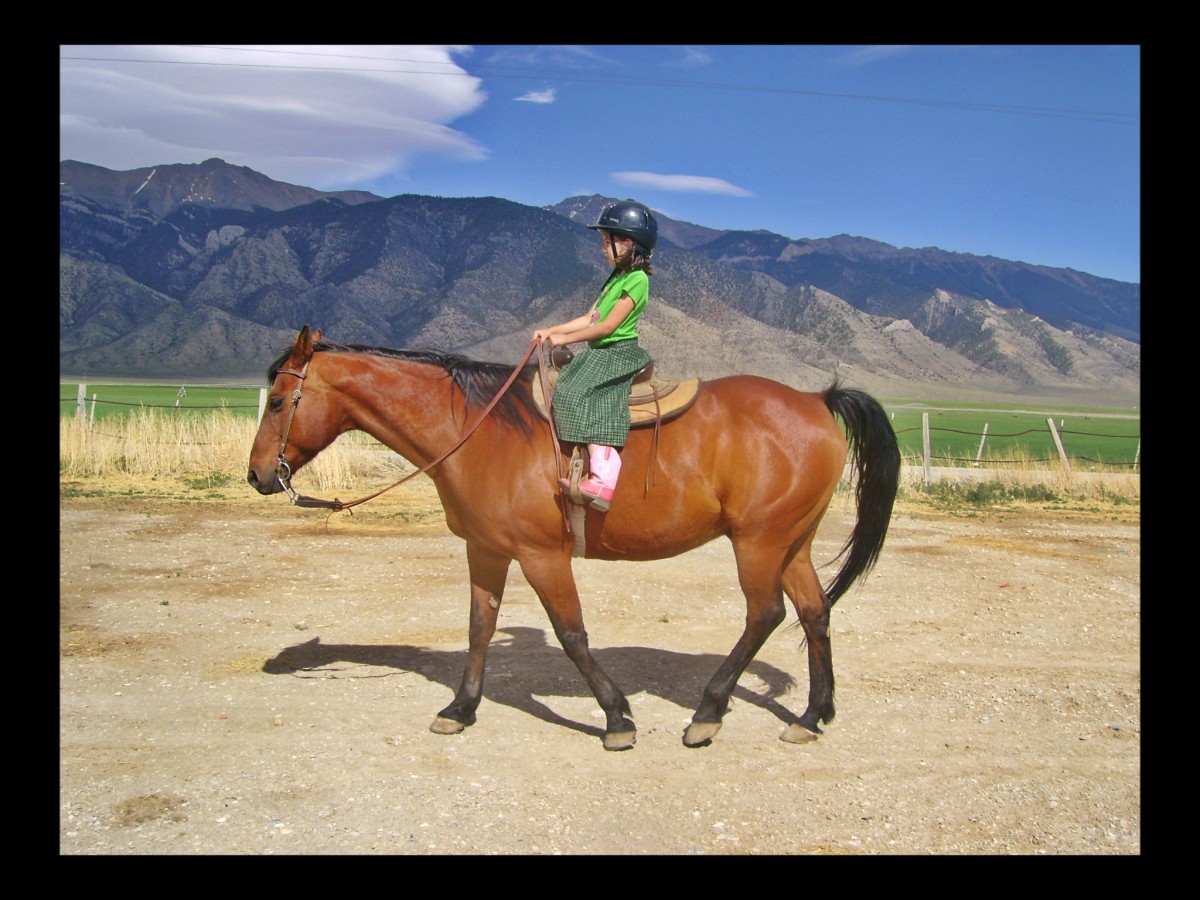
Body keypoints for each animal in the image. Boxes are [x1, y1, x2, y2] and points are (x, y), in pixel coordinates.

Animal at [246, 328, 902, 748]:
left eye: (277, 400)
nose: (257, 476)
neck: (478, 431)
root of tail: (817, 400)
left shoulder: (542, 555)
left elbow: (572, 634)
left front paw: (617, 719)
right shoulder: (486, 548)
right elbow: (479, 626)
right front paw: (459, 708)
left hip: (757, 541)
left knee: (765, 614)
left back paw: (708, 713)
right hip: (792, 541)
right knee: (814, 612)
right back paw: (812, 715)